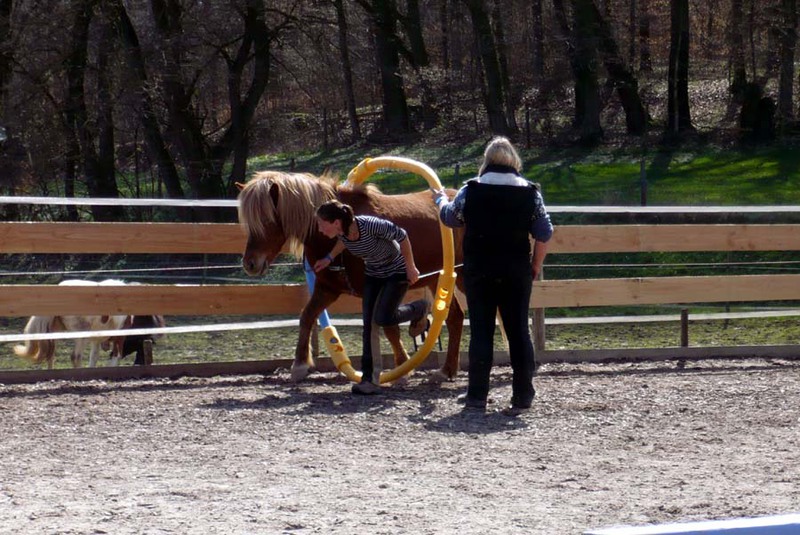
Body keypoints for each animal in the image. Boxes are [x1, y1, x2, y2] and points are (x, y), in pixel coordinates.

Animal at [237, 170, 466, 382]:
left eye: (267, 219)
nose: (250, 264)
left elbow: (389, 328)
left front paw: (402, 368)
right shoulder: (327, 289)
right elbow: (307, 316)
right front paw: (300, 365)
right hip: (437, 280)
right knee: (455, 317)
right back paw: (447, 369)